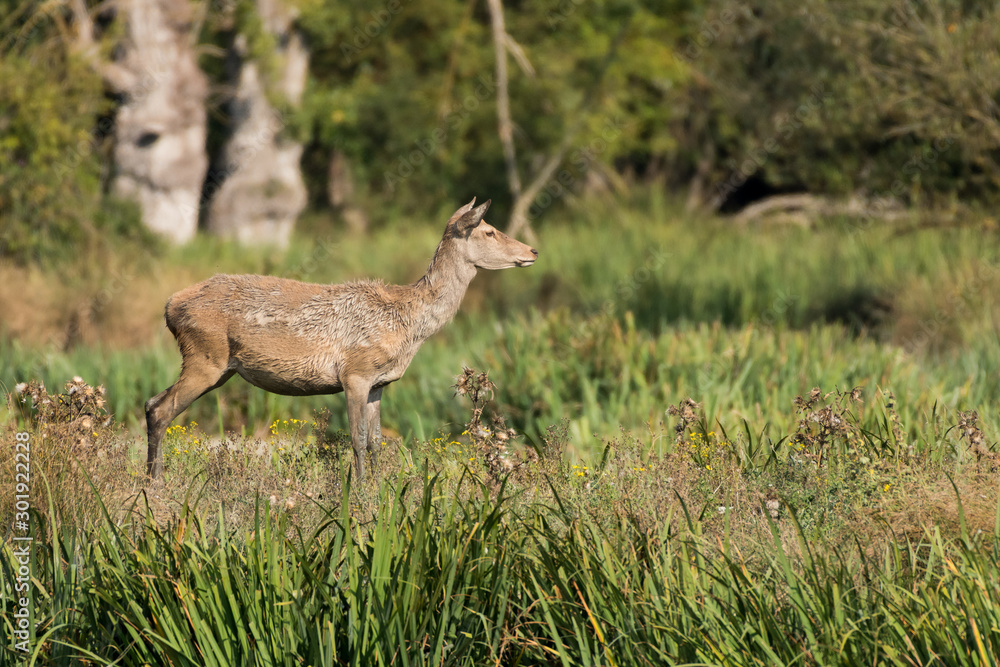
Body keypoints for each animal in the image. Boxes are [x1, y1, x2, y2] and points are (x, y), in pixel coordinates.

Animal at [144, 198, 537, 482]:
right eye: (489, 230)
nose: (532, 251)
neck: (408, 325)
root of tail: (169, 306)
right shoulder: (355, 373)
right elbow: (358, 439)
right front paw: (361, 491)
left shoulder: (380, 382)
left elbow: (377, 442)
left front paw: (381, 489)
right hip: (205, 356)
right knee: (161, 409)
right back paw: (156, 483)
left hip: (220, 366)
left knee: (151, 402)